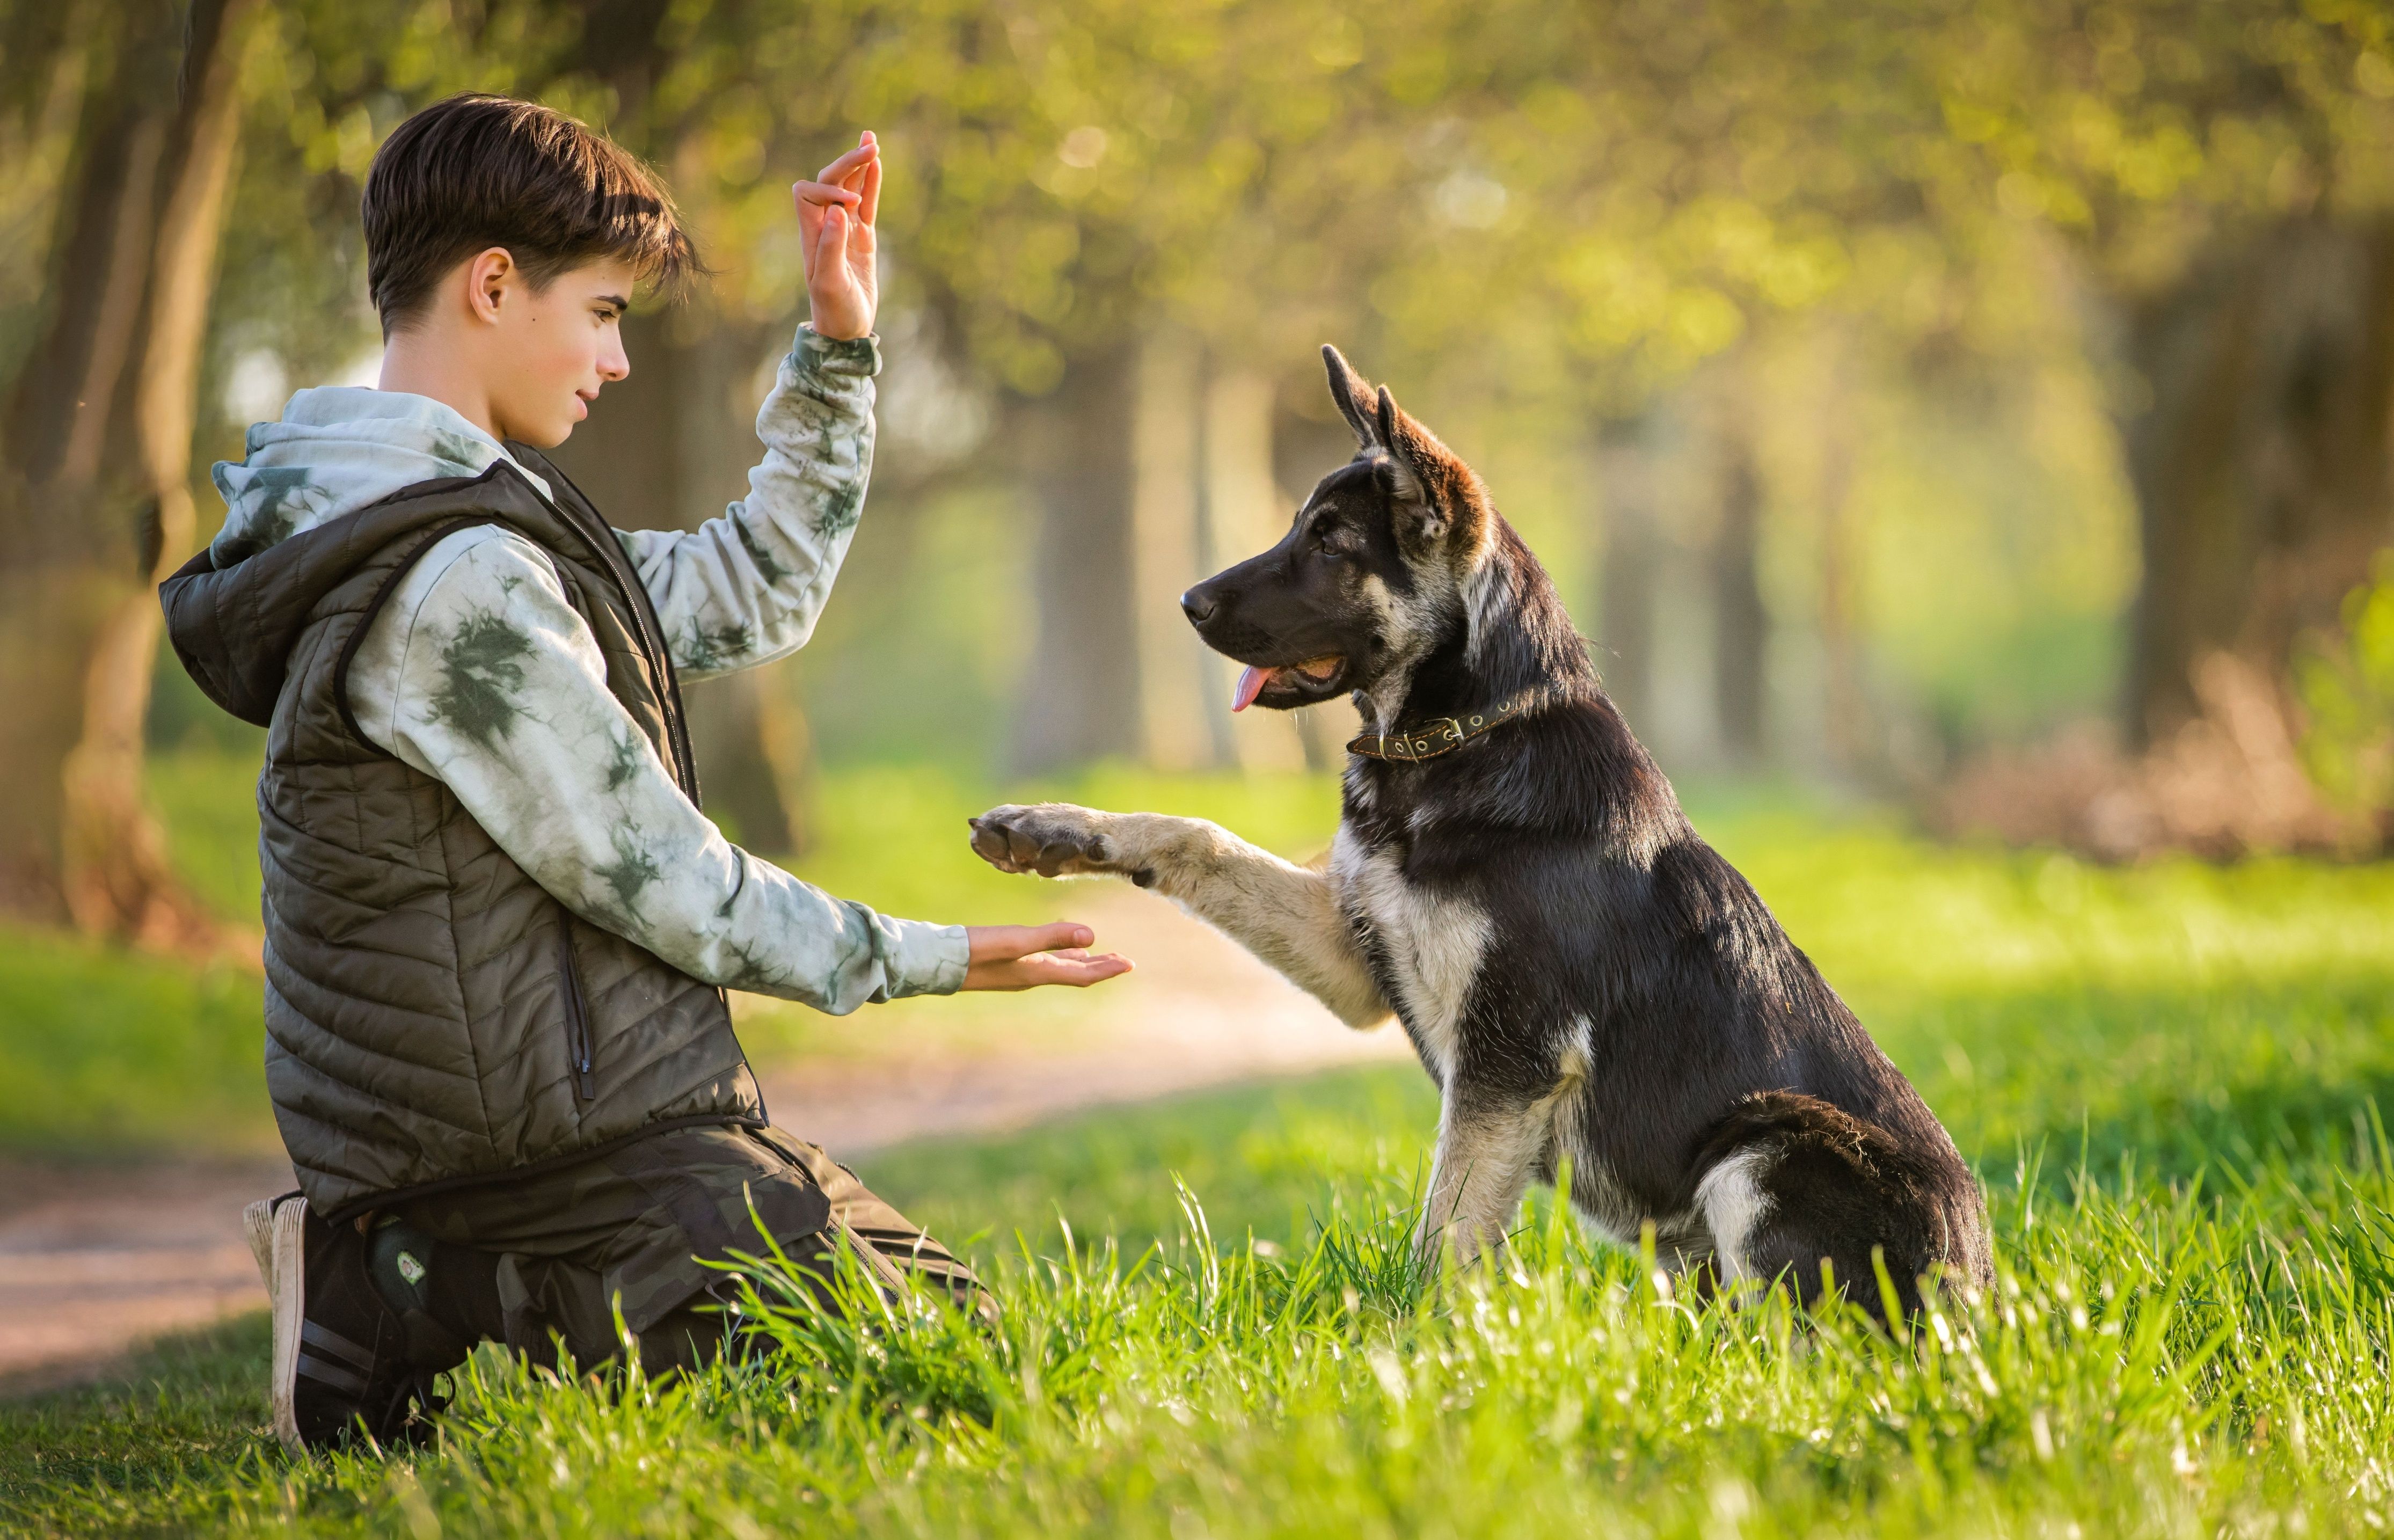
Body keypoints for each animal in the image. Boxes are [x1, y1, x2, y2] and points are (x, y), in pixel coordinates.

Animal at [962, 349, 1991, 1312]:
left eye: (1331, 542)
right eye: (1299, 525)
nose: (1187, 603)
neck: (1457, 737)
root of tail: (1977, 1294)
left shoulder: (1508, 1062)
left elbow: (1446, 1231)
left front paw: (1418, 1341)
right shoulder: (1356, 960)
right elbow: (1199, 836)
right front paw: (1054, 828)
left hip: (1768, 1142)